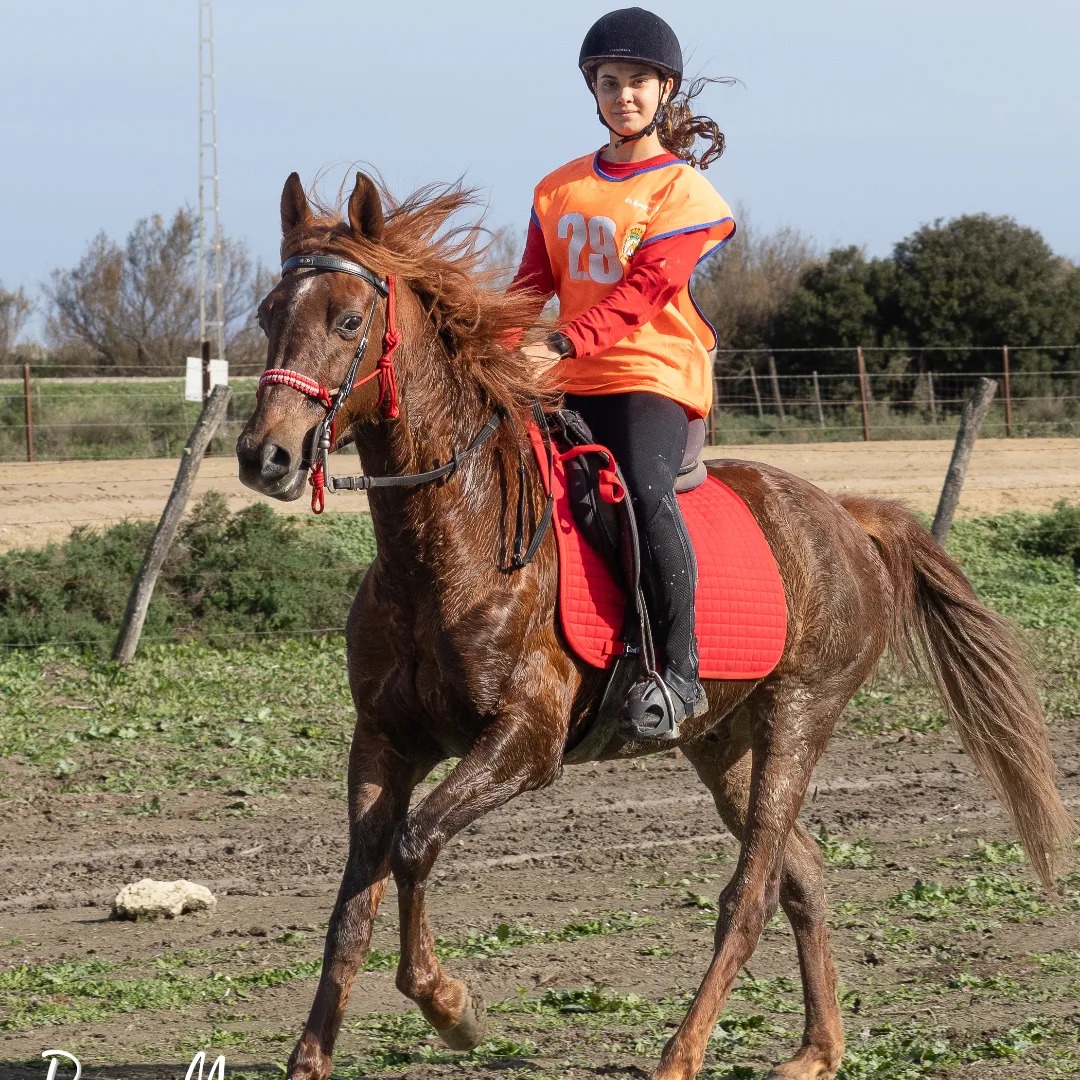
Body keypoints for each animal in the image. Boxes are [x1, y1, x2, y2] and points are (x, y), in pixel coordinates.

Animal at [236, 170, 1071, 1080]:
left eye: (349, 321)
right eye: (268, 313)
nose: (264, 456)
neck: (451, 542)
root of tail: (845, 514)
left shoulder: (525, 744)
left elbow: (415, 846)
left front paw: (452, 1008)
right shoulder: (384, 741)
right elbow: (353, 901)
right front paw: (310, 1057)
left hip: (801, 714)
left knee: (751, 891)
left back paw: (682, 1052)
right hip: (723, 740)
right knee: (803, 873)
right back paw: (817, 1049)